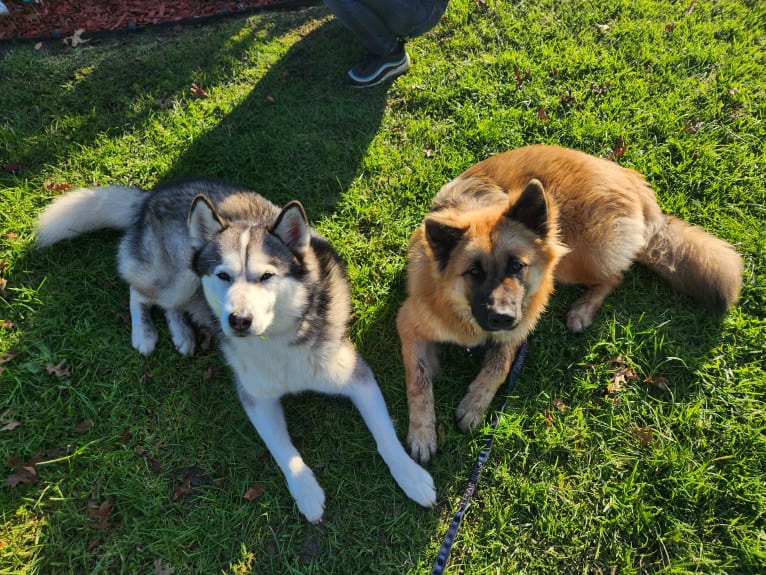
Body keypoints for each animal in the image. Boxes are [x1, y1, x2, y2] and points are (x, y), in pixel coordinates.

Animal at [36, 179, 436, 520]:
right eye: (224, 276)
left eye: (267, 276)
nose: (238, 320)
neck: (277, 341)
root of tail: (154, 194)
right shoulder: (256, 399)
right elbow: (284, 452)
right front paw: (307, 493)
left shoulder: (356, 377)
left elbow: (385, 438)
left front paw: (411, 477)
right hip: (179, 278)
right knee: (139, 291)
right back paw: (145, 333)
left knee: (165, 303)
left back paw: (181, 333)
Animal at [400, 145, 748, 464]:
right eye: (474, 272)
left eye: (516, 266)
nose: (502, 317)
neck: (463, 316)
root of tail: (633, 181)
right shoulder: (409, 325)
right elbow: (418, 382)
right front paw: (423, 433)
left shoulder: (521, 327)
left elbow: (499, 367)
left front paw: (474, 405)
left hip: (575, 256)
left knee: (616, 275)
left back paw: (582, 309)